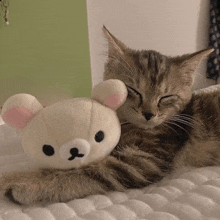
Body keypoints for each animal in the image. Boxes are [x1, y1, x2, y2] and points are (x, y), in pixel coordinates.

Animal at [0, 27, 217, 205]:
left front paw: (24, 183)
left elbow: (82, 172)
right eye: (133, 91)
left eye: (166, 97)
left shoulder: (141, 162)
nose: (149, 114)